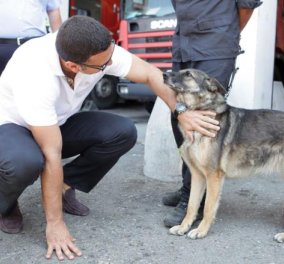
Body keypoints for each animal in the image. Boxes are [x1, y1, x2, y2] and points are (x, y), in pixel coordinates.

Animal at [162, 68, 284, 241]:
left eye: (188, 74)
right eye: (180, 70)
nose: (163, 74)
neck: (200, 109)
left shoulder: (213, 176)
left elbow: (208, 207)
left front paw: (201, 230)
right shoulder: (198, 176)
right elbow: (192, 205)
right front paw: (183, 227)